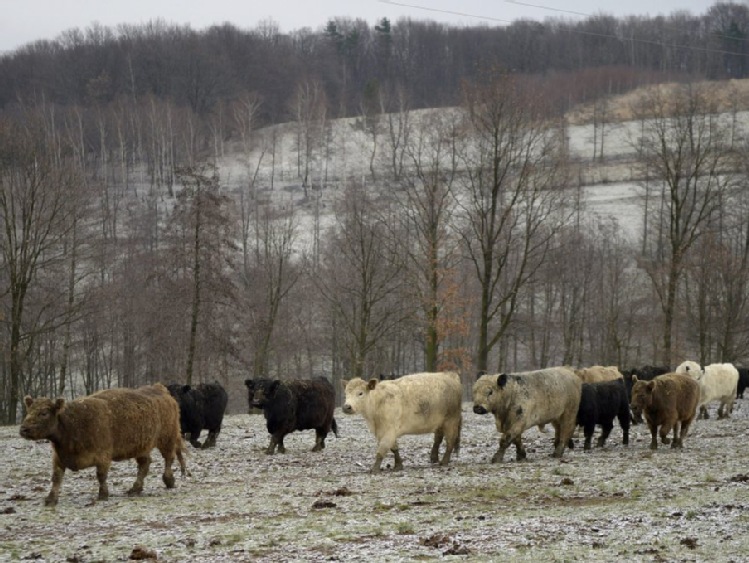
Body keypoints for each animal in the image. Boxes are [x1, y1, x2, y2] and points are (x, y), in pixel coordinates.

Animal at [19, 384, 186, 506]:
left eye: (44, 413)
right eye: (29, 411)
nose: (23, 429)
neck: (74, 424)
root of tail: (160, 389)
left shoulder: (103, 456)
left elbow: (101, 476)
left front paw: (103, 494)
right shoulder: (59, 458)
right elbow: (56, 477)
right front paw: (50, 499)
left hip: (167, 439)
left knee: (169, 459)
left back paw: (168, 480)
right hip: (142, 446)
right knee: (145, 465)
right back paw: (135, 488)